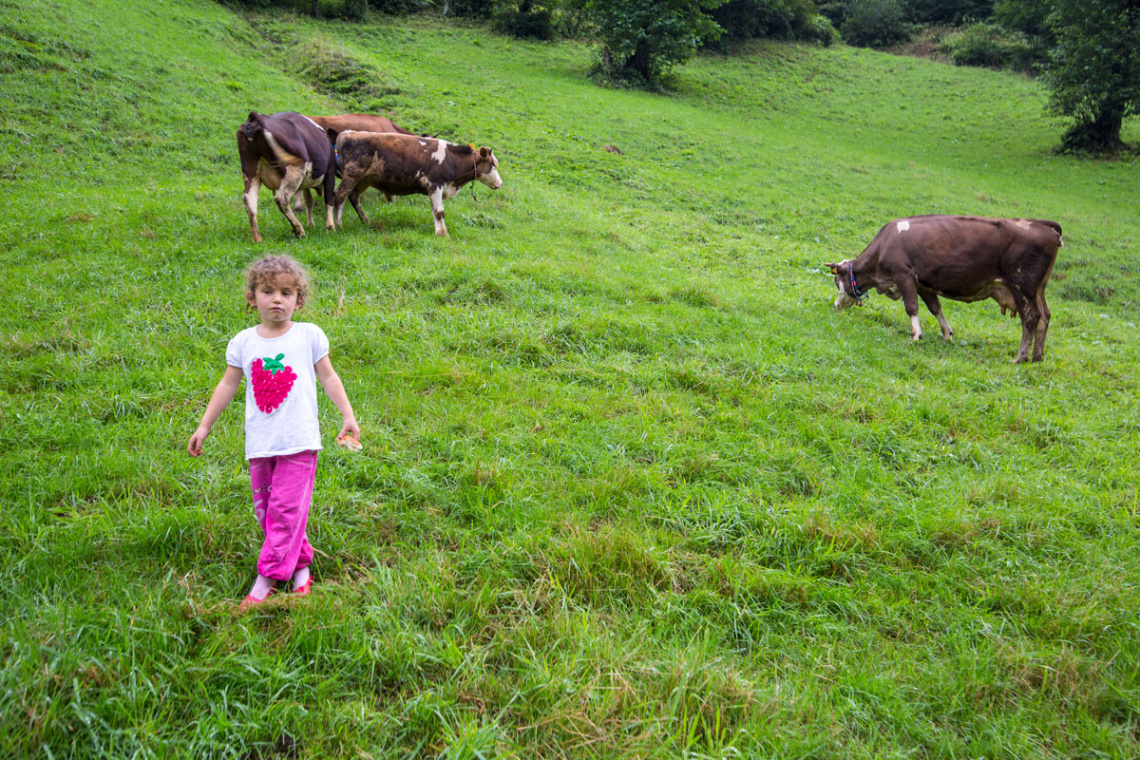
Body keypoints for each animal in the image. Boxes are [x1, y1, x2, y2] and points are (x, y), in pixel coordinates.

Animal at [234, 109, 332, 243]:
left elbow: (309, 201)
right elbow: (329, 200)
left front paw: (311, 224)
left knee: (249, 200)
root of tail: (257, 118)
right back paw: (299, 229)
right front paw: (330, 227)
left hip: (251, 172)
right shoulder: (330, 173)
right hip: (294, 171)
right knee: (282, 199)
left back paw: (258, 238)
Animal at [332, 131, 506, 235]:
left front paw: (444, 232)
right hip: (351, 175)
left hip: (364, 179)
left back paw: (365, 221)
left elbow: (439, 212)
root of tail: (347, 133)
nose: (500, 183)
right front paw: (441, 234)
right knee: (339, 196)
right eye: (493, 164)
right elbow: (438, 211)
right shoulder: (435, 186)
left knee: (353, 197)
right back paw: (337, 225)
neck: (451, 159)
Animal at [825, 215, 1062, 364]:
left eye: (836, 281)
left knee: (1031, 318)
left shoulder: (904, 275)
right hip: (1038, 289)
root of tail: (1042, 226)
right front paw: (947, 334)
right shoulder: (923, 284)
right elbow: (935, 308)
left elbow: (911, 307)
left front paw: (916, 335)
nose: (835, 305)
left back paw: (1020, 357)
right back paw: (1037, 356)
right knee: (1045, 316)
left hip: (1022, 286)